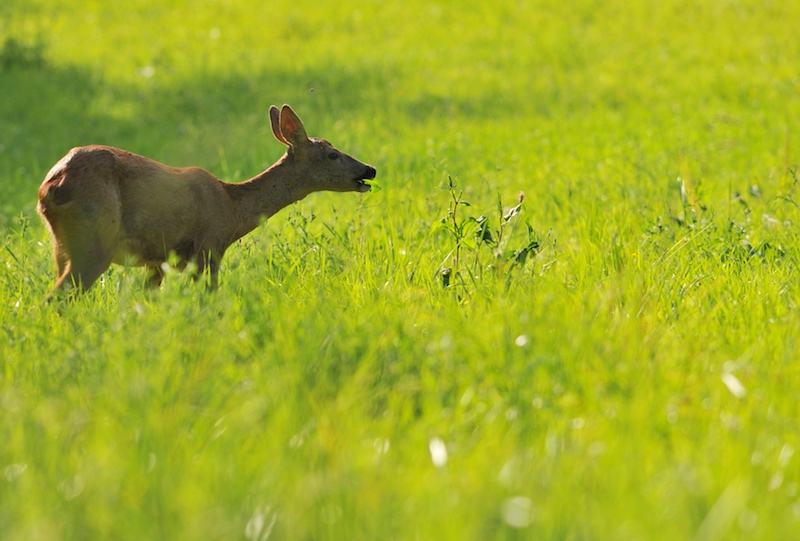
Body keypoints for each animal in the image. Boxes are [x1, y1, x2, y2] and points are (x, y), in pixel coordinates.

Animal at [36, 104, 376, 300]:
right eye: (332, 154)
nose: (369, 169)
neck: (233, 208)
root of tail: (51, 186)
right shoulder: (209, 246)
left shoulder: (160, 260)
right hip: (95, 238)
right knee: (57, 298)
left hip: (60, 246)